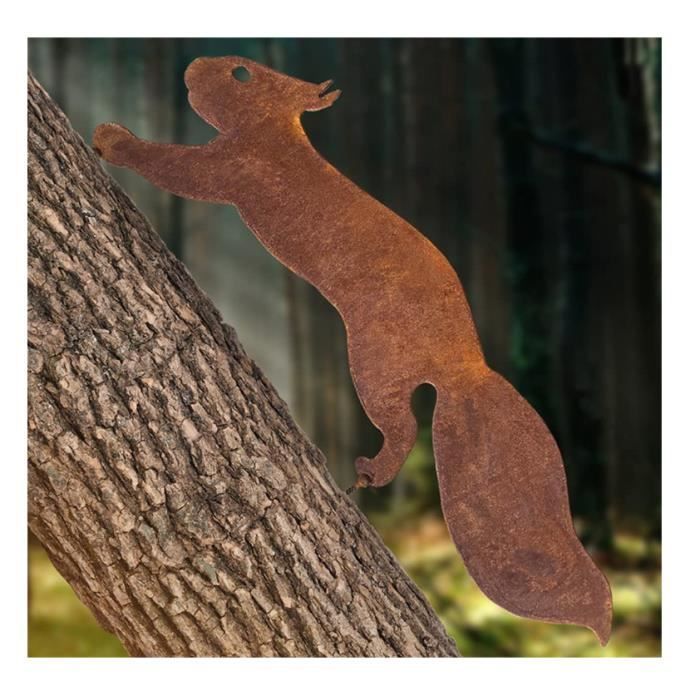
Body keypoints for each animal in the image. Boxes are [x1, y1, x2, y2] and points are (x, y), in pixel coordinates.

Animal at [94, 56, 612, 643]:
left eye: (241, 72)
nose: (194, 67)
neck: (280, 133)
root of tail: (465, 368)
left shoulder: (234, 166)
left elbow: (177, 169)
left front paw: (111, 138)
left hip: (375, 367)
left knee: (404, 427)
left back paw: (368, 471)